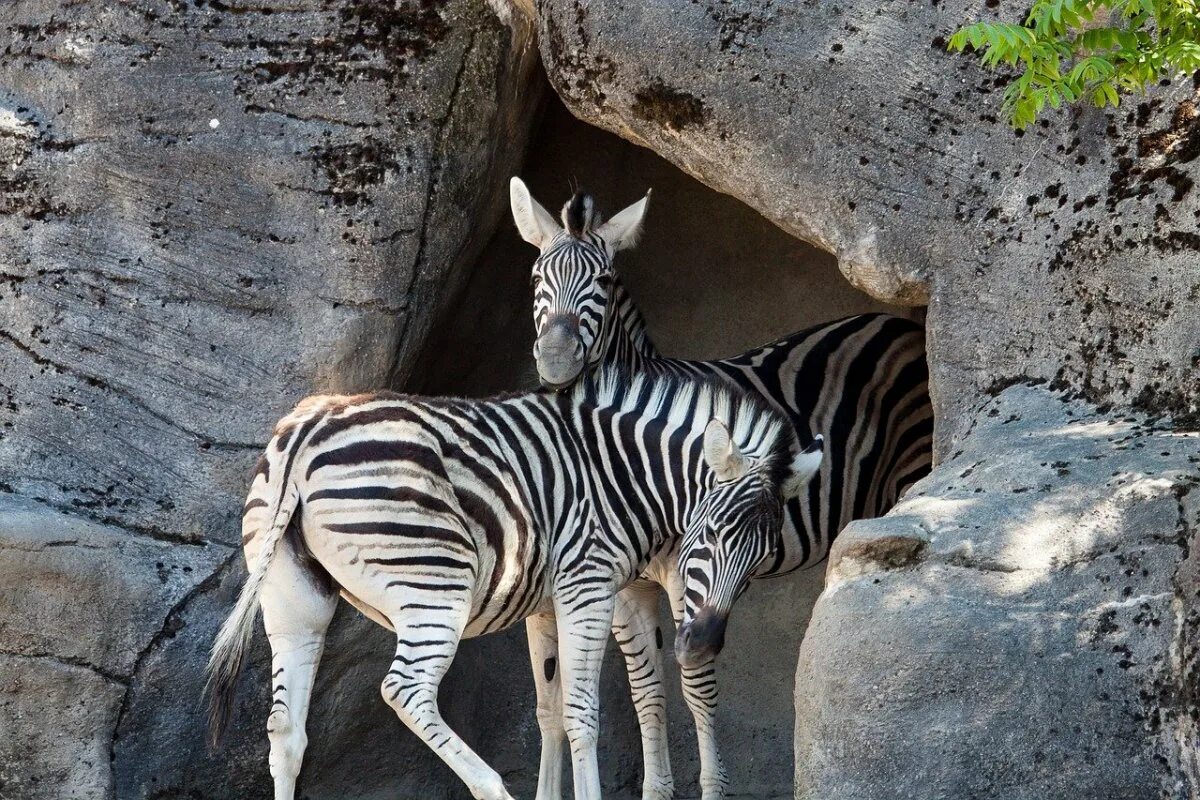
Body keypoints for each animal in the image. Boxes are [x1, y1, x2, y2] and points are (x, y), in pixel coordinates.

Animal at [208, 367, 825, 800]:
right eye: (711, 537)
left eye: (762, 560)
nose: (701, 646)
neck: (625, 475)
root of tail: (310, 427)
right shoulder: (589, 584)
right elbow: (582, 713)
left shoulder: (546, 604)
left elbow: (549, 711)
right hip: (435, 586)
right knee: (405, 690)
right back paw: (491, 788)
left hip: (294, 596)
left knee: (286, 730)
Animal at [508, 176, 936, 800]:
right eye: (537, 277)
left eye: (604, 283)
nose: (557, 360)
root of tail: (902, 325)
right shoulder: (625, 584)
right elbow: (648, 693)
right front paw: (657, 788)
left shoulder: (687, 574)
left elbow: (696, 689)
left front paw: (713, 786)